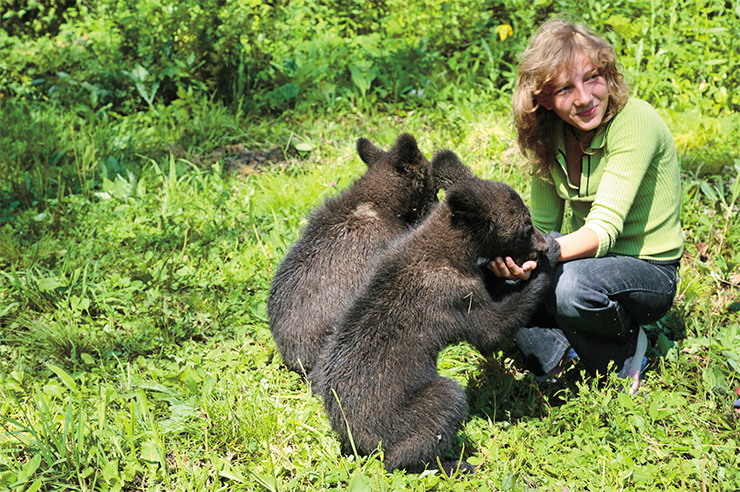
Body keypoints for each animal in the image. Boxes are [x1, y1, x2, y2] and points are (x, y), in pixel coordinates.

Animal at [312, 149, 561, 475]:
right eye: (526, 225)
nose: (541, 245)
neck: (456, 251)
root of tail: (353, 439)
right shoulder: (451, 295)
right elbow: (491, 329)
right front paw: (549, 259)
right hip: (400, 416)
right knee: (437, 410)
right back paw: (452, 462)